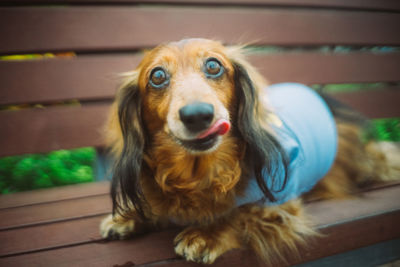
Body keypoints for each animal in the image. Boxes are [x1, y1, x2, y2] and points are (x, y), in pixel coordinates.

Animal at [100, 38, 396, 264]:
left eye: (213, 65)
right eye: (157, 76)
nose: (198, 115)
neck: (199, 174)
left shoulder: (280, 204)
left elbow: (241, 213)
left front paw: (207, 234)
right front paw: (128, 216)